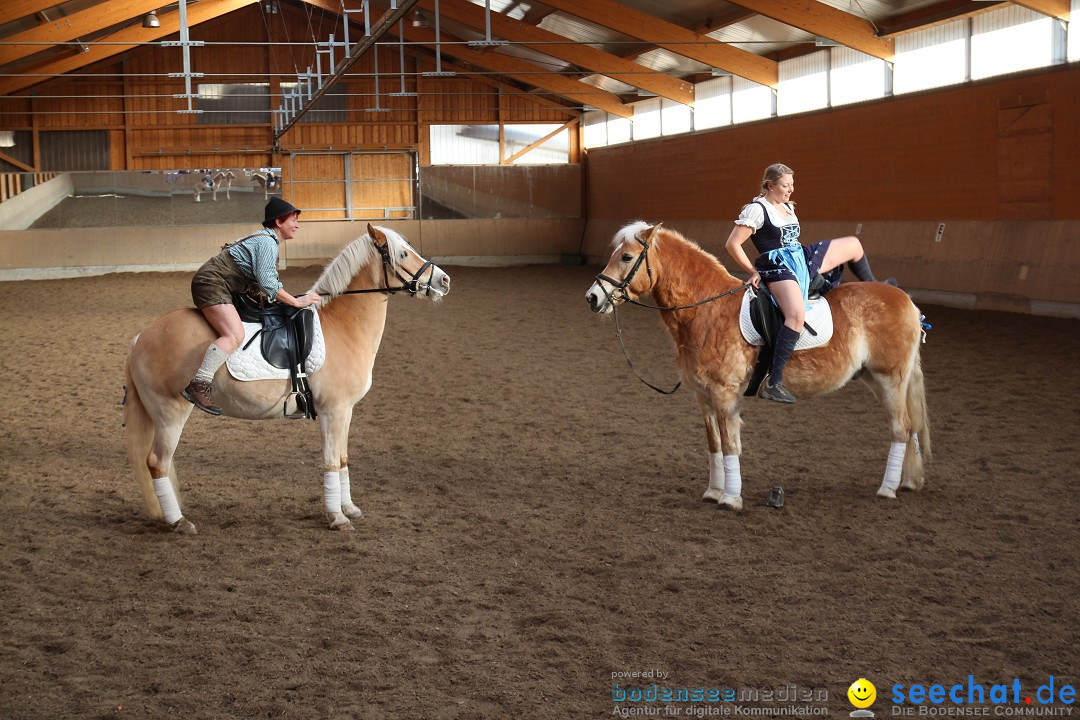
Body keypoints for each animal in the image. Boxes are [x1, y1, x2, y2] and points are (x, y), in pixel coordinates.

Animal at [123, 225, 451, 535]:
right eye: (403, 254)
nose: (444, 281)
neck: (344, 324)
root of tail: (140, 338)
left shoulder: (346, 411)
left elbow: (343, 459)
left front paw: (349, 508)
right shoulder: (333, 411)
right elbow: (331, 462)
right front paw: (337, 518)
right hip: (170, 413)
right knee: (157, 462)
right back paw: (178, 521)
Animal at [587, 222, 933, 509]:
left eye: (627, 257)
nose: (593, 298)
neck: (707, 309)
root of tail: (906, 300)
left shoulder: (724, 395)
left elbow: (729, 445)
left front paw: (730, 499)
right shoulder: (703, 397)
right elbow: (715, 444)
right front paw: (713, 492)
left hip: (890, 378)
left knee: (901, 427)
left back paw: (887, 489)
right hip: (876, 379)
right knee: (909, 427)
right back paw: (906, 482)